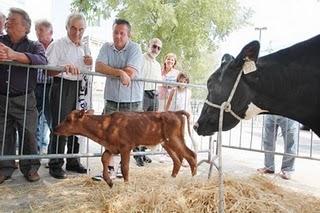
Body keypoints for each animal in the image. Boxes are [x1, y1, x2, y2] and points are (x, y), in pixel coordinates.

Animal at [53, 109, 196, 187]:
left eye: (68, 119)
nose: (55, 128)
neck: (105, 126)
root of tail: (174, 112)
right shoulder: (111, 148)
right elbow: (104, 159)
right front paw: (109, 182)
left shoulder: (125, 147)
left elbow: (124, 168)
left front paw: (126, 185)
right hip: (167, 143)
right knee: (177, 160)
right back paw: (172, 179)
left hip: (174, 139)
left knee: (191, 155)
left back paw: (193, 180)